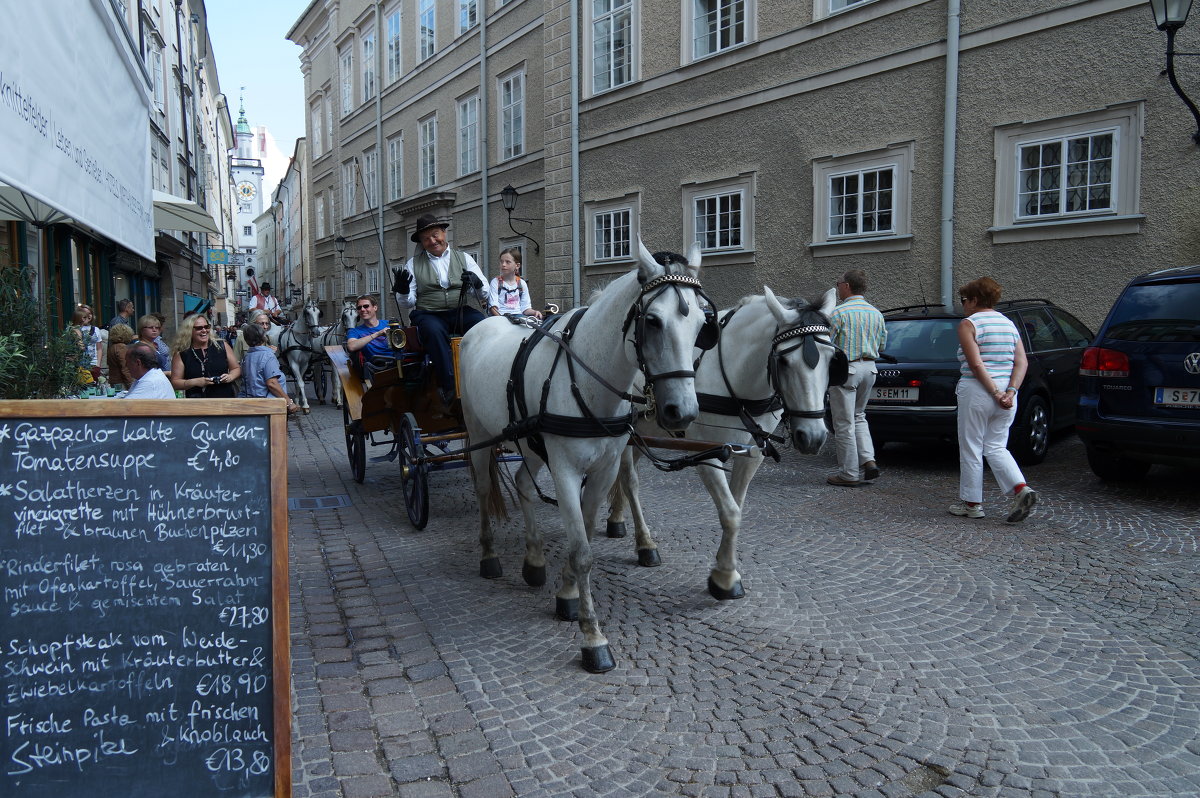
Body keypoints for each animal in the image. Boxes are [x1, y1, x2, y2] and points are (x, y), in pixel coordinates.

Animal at [456, 242, 700, 672]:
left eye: (704, 324)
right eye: (653, 321)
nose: (681, 412)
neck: (588, 378)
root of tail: (481, 327)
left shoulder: (603, 470)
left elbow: (584, 533)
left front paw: (567, 595)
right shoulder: (567, 471)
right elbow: (583, 551)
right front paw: (593, 638)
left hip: (528, 442)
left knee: (522, 483)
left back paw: (534, 561)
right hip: (482, 435)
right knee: (485, 489)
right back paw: (489, 556)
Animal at [604, 283, 840, 600]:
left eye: (831, 360)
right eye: (783, 361)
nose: (813, 437)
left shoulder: (751, 453)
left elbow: (736, 507)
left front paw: (725, 566)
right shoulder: (708, 453)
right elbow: (729, 512)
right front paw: (725, 579)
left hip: (644, 428)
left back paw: (617, 519)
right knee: (630, 481)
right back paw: (645, 544)